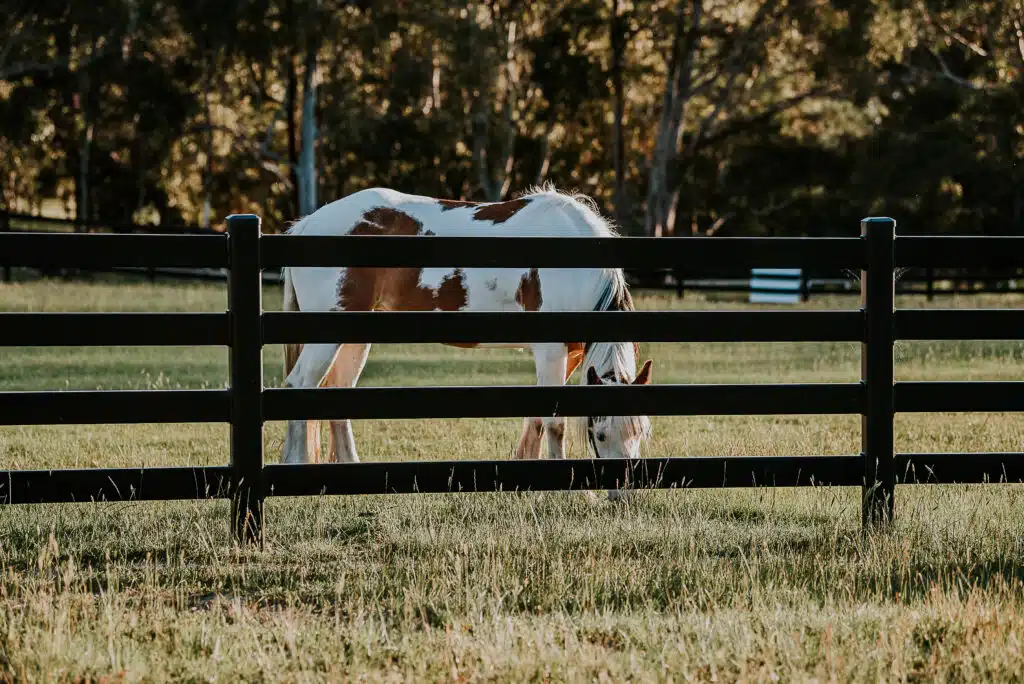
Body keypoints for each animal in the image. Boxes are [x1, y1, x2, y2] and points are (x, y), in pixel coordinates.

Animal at [278, 184, 654, 467]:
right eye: (599, 433)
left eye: (641, 431)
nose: (621, 493)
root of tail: (307, 224)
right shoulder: (550, 351)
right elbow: (554, 423)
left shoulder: (569, 355)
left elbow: (535, 419)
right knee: (299, 384)